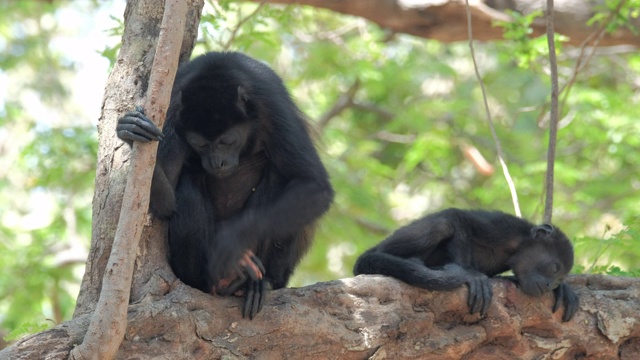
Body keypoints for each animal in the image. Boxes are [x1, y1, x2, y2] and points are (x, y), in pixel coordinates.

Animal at [116, 51, 336, 318]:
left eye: (227, 141)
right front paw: (131, 130)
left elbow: (314, 186)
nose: (216, 163)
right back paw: (215, 282)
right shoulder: (173, 106)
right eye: (200, 144)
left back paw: (260, 283)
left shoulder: (271, 100)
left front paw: (229, 244)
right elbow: (165, 202)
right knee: (187, 186)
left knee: (279, 178)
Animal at [352, 207, 576, 322]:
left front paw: (564, 290)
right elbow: (457, 217)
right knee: (443, 224)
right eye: (554, 268)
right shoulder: (505, 228)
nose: (549, 285)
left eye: (558, 279)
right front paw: (471, 276)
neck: (516, 249)